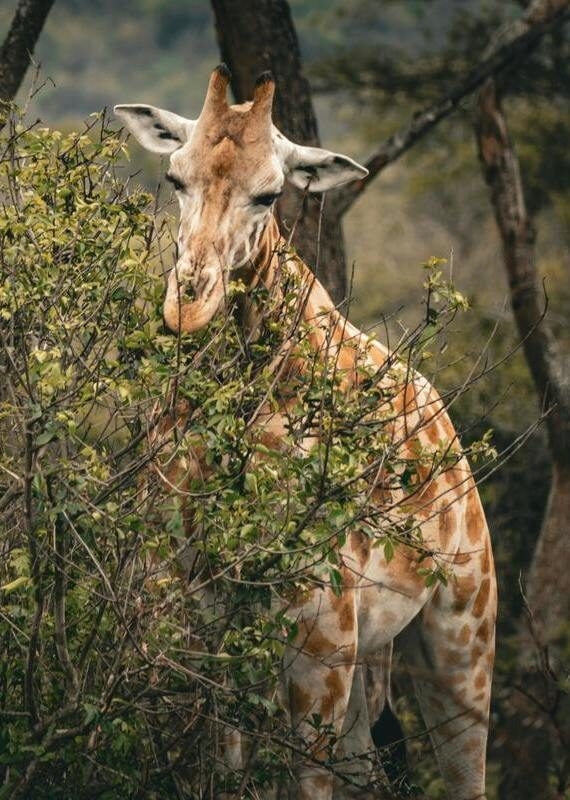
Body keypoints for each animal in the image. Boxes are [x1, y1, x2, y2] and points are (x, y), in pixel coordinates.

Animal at [115, 64, 497, 800]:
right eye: (174, 177)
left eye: (270, 194)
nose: (188, 302)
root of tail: (450, 435)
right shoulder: (191, 603)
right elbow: (223, 762)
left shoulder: (320, 628)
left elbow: (306, 776)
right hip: (377, 653)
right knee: (366, 763)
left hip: (463, 630)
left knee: (462, 767)